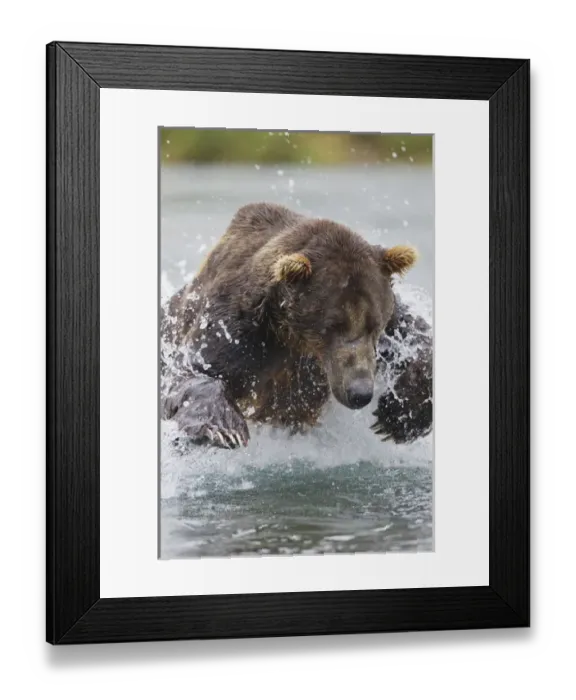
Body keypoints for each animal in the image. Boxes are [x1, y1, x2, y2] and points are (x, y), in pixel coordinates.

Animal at [160, 202, 433, 449]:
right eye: (332, 325)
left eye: (374, 324)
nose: (360, 392)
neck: (293, 337)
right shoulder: (237, 328)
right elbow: (195, 369)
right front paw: (226, 429)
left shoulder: (391, 326)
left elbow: (418, 339)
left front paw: (399, 415)